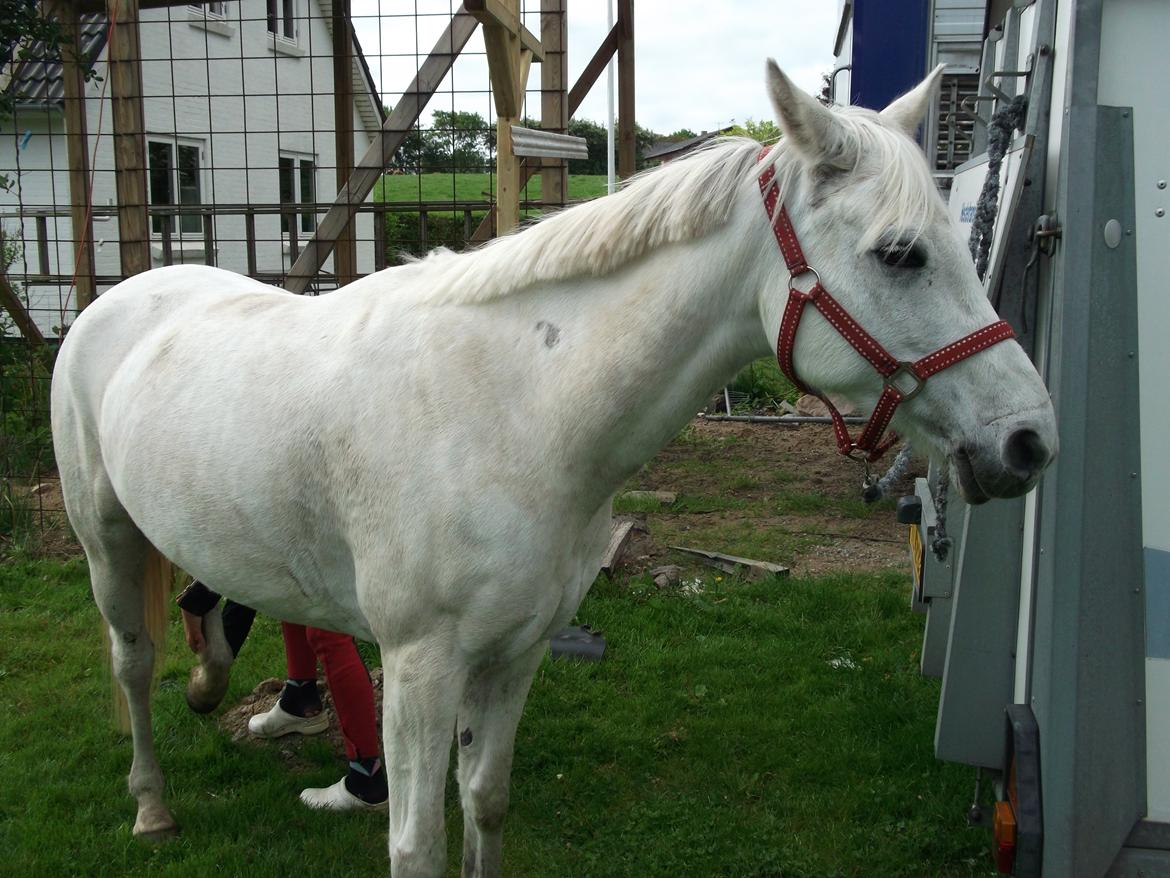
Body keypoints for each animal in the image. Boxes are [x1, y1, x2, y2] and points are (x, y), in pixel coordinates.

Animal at [52, 63, 1053, 878]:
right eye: (900, 253)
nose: (1029, 441)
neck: (518, 413)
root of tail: (122, 295)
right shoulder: (421, 668)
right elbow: (416, 845)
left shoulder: (518, 651)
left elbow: (486, 805)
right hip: (105, 542)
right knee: (131, 662)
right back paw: (152, 803)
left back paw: (213, 682)